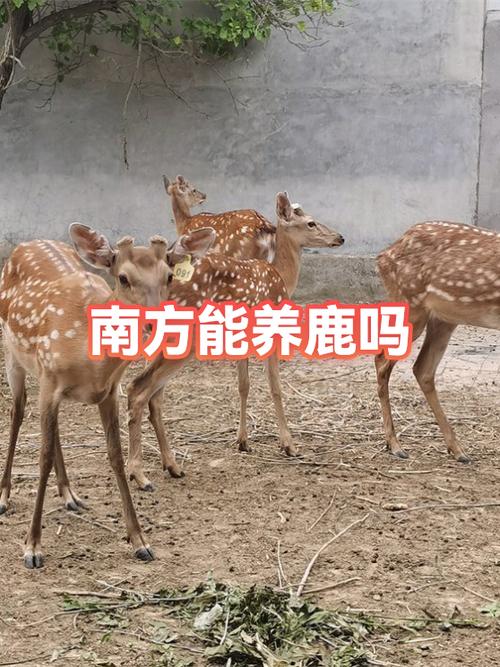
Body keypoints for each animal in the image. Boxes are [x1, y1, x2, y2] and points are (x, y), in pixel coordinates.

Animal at [0, 224, 215, 568]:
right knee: (17, 413)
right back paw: (5, 496)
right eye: (123, 277)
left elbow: (115, 455)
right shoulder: (49, 380)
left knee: (53, 431)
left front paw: (140, 541)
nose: (157, 323)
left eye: (169, 276)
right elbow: (42, 457)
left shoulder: (109, 391)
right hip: (14, 354)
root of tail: (28, 243)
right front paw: (32, 547)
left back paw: (70, 495)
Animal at [126, 191, 344, 491]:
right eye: (310, 222)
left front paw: (242, 441)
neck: (282, 277)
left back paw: (170, 465)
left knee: (153, 395)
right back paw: (139, 474)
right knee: (139, 388)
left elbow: (243, 385)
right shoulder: (270, 328)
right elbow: (275, 387)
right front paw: (289, 445)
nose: (340, 237)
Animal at [375, 220, 500, 463]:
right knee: (382, 360)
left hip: (443, 318)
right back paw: (395, 445)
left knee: (422, 369)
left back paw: (457, 450)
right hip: (410, 304)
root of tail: (384, 255)